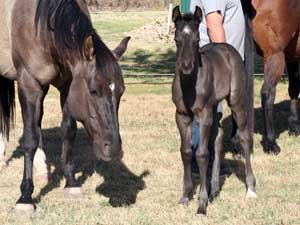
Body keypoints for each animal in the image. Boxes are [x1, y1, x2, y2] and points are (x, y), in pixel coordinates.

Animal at [0, 0, 128, 211]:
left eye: (121, 92)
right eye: (94, 90)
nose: (113, 148)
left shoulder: (67, 85)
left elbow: (68, 131)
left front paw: (71, 183)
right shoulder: (29, 84)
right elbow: (29, 139)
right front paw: (25, 197)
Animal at [172, 6, 256, 214]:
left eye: (196, 41)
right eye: (177, 39)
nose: (186, 67)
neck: (189, 85)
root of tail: (227, 47)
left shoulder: (204, 115)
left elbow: (202, 154)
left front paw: (201, 203)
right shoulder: (182, 116)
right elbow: (186, 151)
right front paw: (185, 196)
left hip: (236, 101)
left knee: (244, 137)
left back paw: (251, 188)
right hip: (214, 108)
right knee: (218, 138)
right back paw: (215, 190)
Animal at [241, 0, 300, 155]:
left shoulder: (292, 55)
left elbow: (293, 89)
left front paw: (294, 126)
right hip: (275, 56)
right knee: (267, 94)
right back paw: (271, 143)